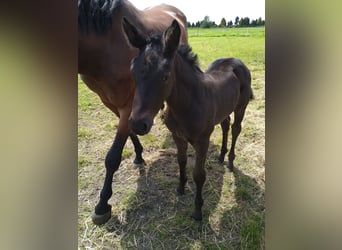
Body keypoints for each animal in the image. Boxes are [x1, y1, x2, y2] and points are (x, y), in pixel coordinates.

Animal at [77, 0, 187, 226]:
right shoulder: (111, 103)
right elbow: (130, 131)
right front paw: (138, 154)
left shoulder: (129, 104)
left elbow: (112, 157)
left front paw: (102, 205)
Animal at [123, 18, 254, 220]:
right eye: (133, 71)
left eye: (165, 76)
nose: (137, 124)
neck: (187, 105)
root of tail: (235, 61)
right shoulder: (178, 136)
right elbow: (181, 161)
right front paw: (181, 188)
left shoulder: (202, 141)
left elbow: (199, 174)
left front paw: (198, 210)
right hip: (224, 109)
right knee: (225, 126)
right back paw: (221, 156)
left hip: (241, 107)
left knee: (235, 129)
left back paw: (231, 161)